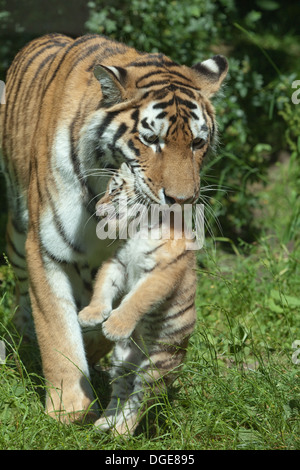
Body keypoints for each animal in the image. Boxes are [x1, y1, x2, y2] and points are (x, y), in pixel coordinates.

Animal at [0, 33, 227, 422]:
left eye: (197, 142)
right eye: (151, 140)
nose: (182, 200)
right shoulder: (45, 249)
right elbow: (57, 329)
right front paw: (69, 409)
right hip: (16, 237)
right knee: (22, 298)